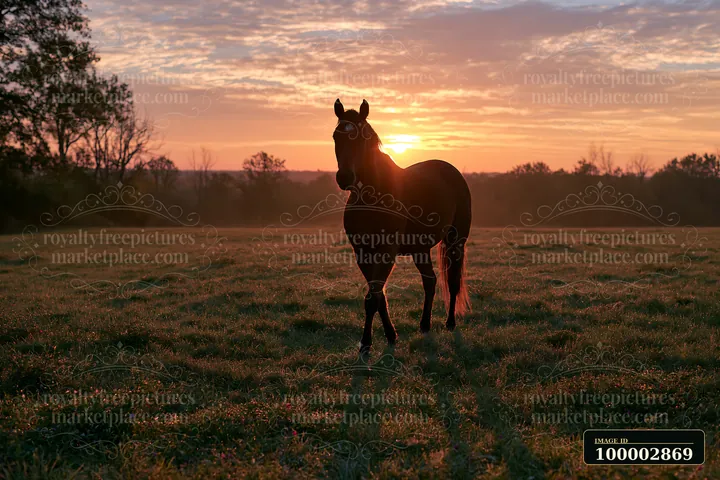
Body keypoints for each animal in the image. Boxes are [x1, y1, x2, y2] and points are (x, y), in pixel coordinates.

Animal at [332, 98, 472, 353]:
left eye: (362, 137)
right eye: (336, 136)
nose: (344, 178)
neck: (372, 197)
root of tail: (451, 171)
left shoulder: (386, 252)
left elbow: (373, 297)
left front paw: (366, 343)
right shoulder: (362, 253)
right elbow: (378, 296)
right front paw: (390, 335)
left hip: (456, 240)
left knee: (453, 280)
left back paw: (450, 323)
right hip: (420, 249)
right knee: (430, 281)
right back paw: (425, 325)